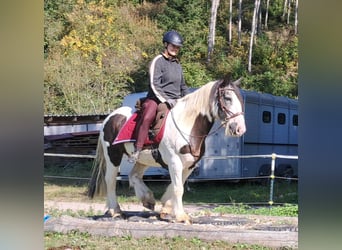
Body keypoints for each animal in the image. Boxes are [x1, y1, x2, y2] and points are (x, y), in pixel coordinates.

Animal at [87, 75, 246, 224]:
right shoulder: (174, 162)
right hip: (113, 155)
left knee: (134, 176)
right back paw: (116, 210)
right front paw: (181, 216)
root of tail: (110, 117)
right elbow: (178, 188)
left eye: (241, 100)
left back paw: (147, 200)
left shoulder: (189, 165)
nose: (239, 128)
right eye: (227, 98)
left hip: (142, 159)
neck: (186, 124)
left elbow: (176, 185)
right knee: (110, 180)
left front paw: (166, 209)